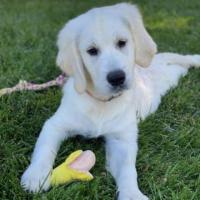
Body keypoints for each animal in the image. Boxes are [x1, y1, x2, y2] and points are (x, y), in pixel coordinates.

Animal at [20, 3, 200, 200]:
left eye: (122, 42)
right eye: (92, 51)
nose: (117, 78)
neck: (102, 102)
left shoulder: (122, 139)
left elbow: (128, 170)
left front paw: (132, 194)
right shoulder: (55, 124)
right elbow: (44, 149)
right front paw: (36, 175)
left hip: (166, 58)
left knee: (184, 58)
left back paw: (196, 59)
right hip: (173, 71)